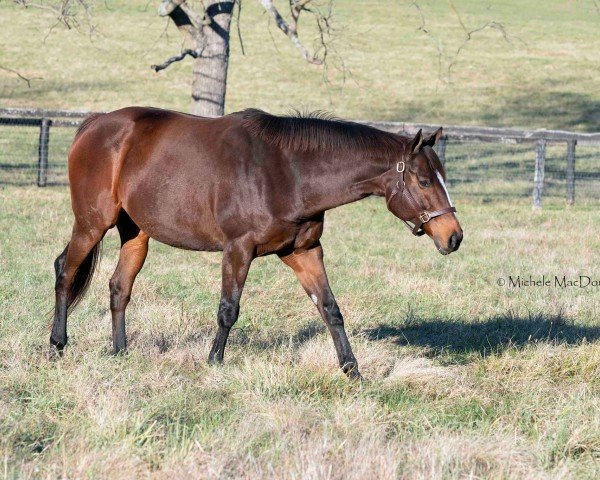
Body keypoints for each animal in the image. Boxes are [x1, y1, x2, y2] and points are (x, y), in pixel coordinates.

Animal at [51, 106, 464, 378]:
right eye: (424, 181)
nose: (454, 236)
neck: (288, 172)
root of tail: (94, 125)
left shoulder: (303, 251)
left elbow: (330, 308)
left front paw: (352, 370)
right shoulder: (238, 249)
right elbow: (228, 309)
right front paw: (214, 363)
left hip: (136, 233)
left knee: (119, 287)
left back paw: (120, 352)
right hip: (91, 224)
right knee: (65, 273)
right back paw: (57, 344)